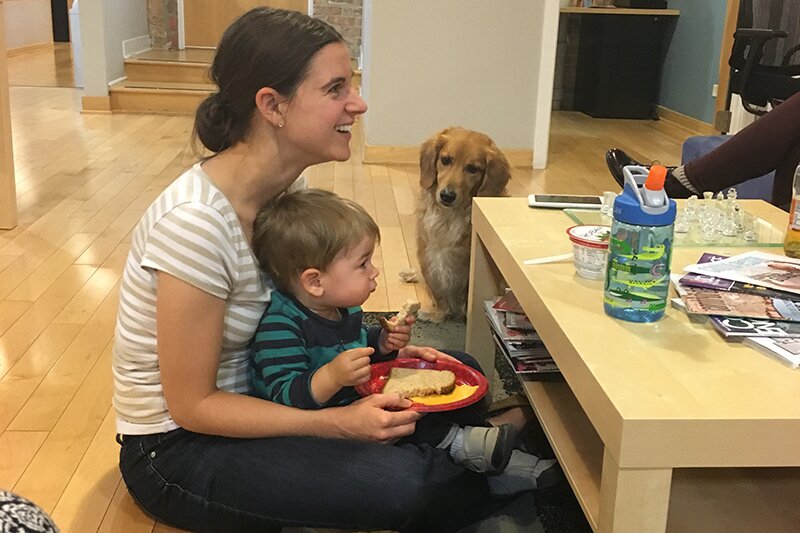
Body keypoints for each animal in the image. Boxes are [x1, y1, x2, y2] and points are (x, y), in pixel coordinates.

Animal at [404, 127, 510, 322]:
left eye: (473, 169)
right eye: (445, 160)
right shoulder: (427, 257)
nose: (447, 195)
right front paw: (437, 313)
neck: (448, 218)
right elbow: (437, 292)